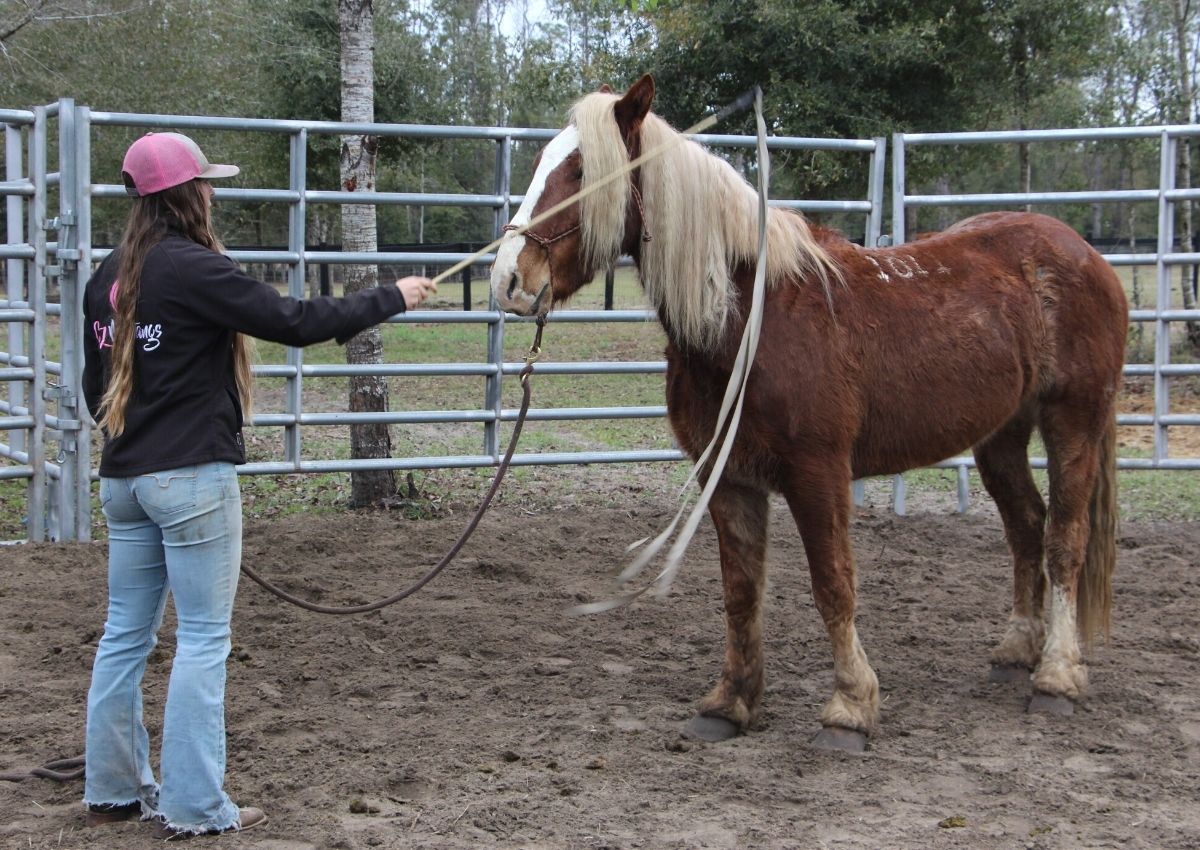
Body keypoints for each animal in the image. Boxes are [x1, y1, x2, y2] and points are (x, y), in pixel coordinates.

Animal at [490, 74, 1128, 752]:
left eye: (584, 169)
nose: (509, 281)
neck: (750, 316)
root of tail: (1082, 252)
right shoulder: (729, 478)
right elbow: (741, 591)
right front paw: (730, 703)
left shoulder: (818, 474)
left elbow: (833, 584)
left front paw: (850, 707)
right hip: (1001, 434)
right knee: (1027, 527)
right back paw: (1014, 653)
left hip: (1073, 421)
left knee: (1064, 539)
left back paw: (1057, 677)